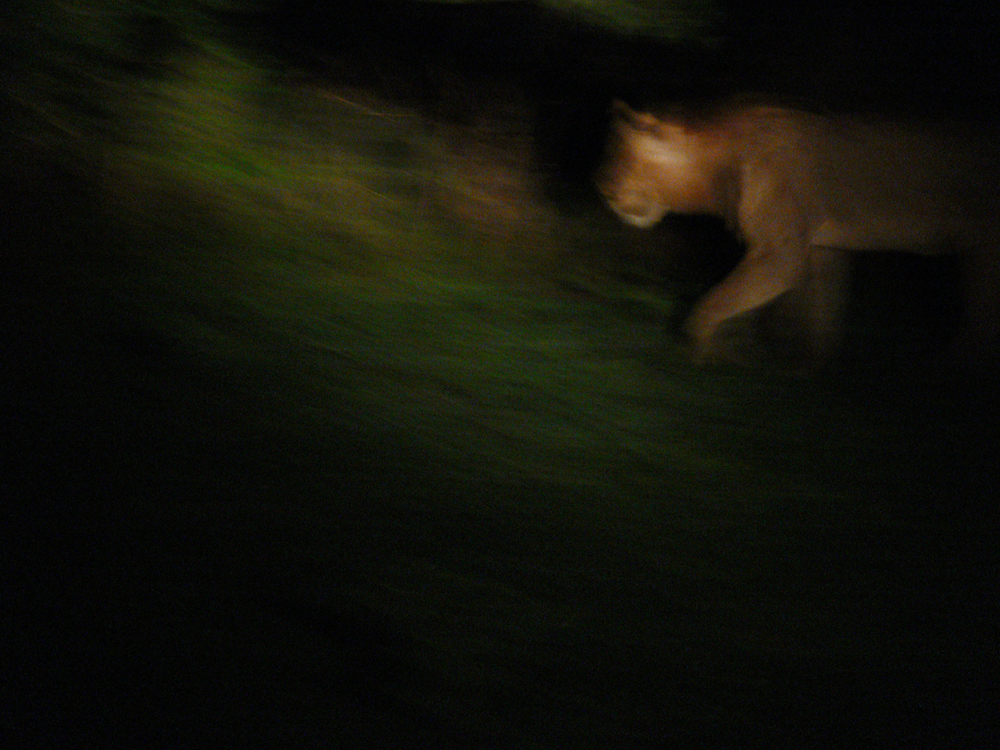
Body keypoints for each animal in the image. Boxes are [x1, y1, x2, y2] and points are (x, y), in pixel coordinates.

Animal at [596, 100, 996, 370]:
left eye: (618, 158)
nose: (601, 189)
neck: (712, 172)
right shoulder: (823, 248)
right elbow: (821, 313)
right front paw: (806, 371)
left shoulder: (780, 254)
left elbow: (715, 301)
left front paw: (699, 354)